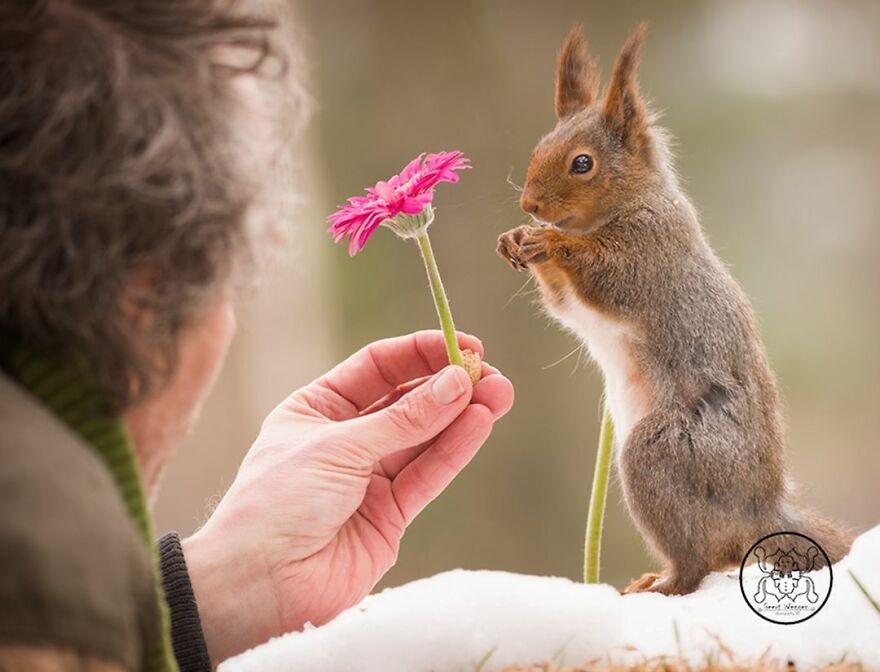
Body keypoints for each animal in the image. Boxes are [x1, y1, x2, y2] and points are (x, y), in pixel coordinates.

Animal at [497, 25, 854, 595]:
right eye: (538, 147)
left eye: (583, 163)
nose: (530, 204)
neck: (625, 206)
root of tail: (758, 513)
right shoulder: (576, 298)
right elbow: (563, 303)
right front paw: (517, 239)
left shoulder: (650, 254)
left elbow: (609, 276)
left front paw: (550, 241)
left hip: (662, 456)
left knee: (699, 562)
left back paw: (663, 583)